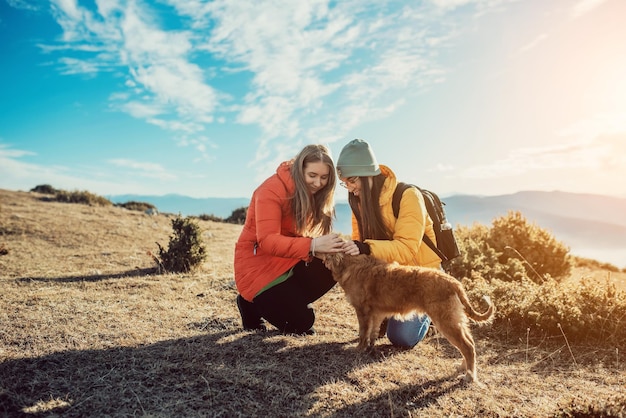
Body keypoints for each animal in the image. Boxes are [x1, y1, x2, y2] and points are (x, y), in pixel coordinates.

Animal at [322, 253, 492, 384]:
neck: (348, 264)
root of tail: (454, 282)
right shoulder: (376, 313)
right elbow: (372, 333)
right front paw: (370, 348)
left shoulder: (363, 311)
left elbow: (363, 333)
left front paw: (358, 349)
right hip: (455, 321)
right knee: (469, 343)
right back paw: (463, 367)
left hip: (445, 321)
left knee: (467, 347)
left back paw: (470, 376)